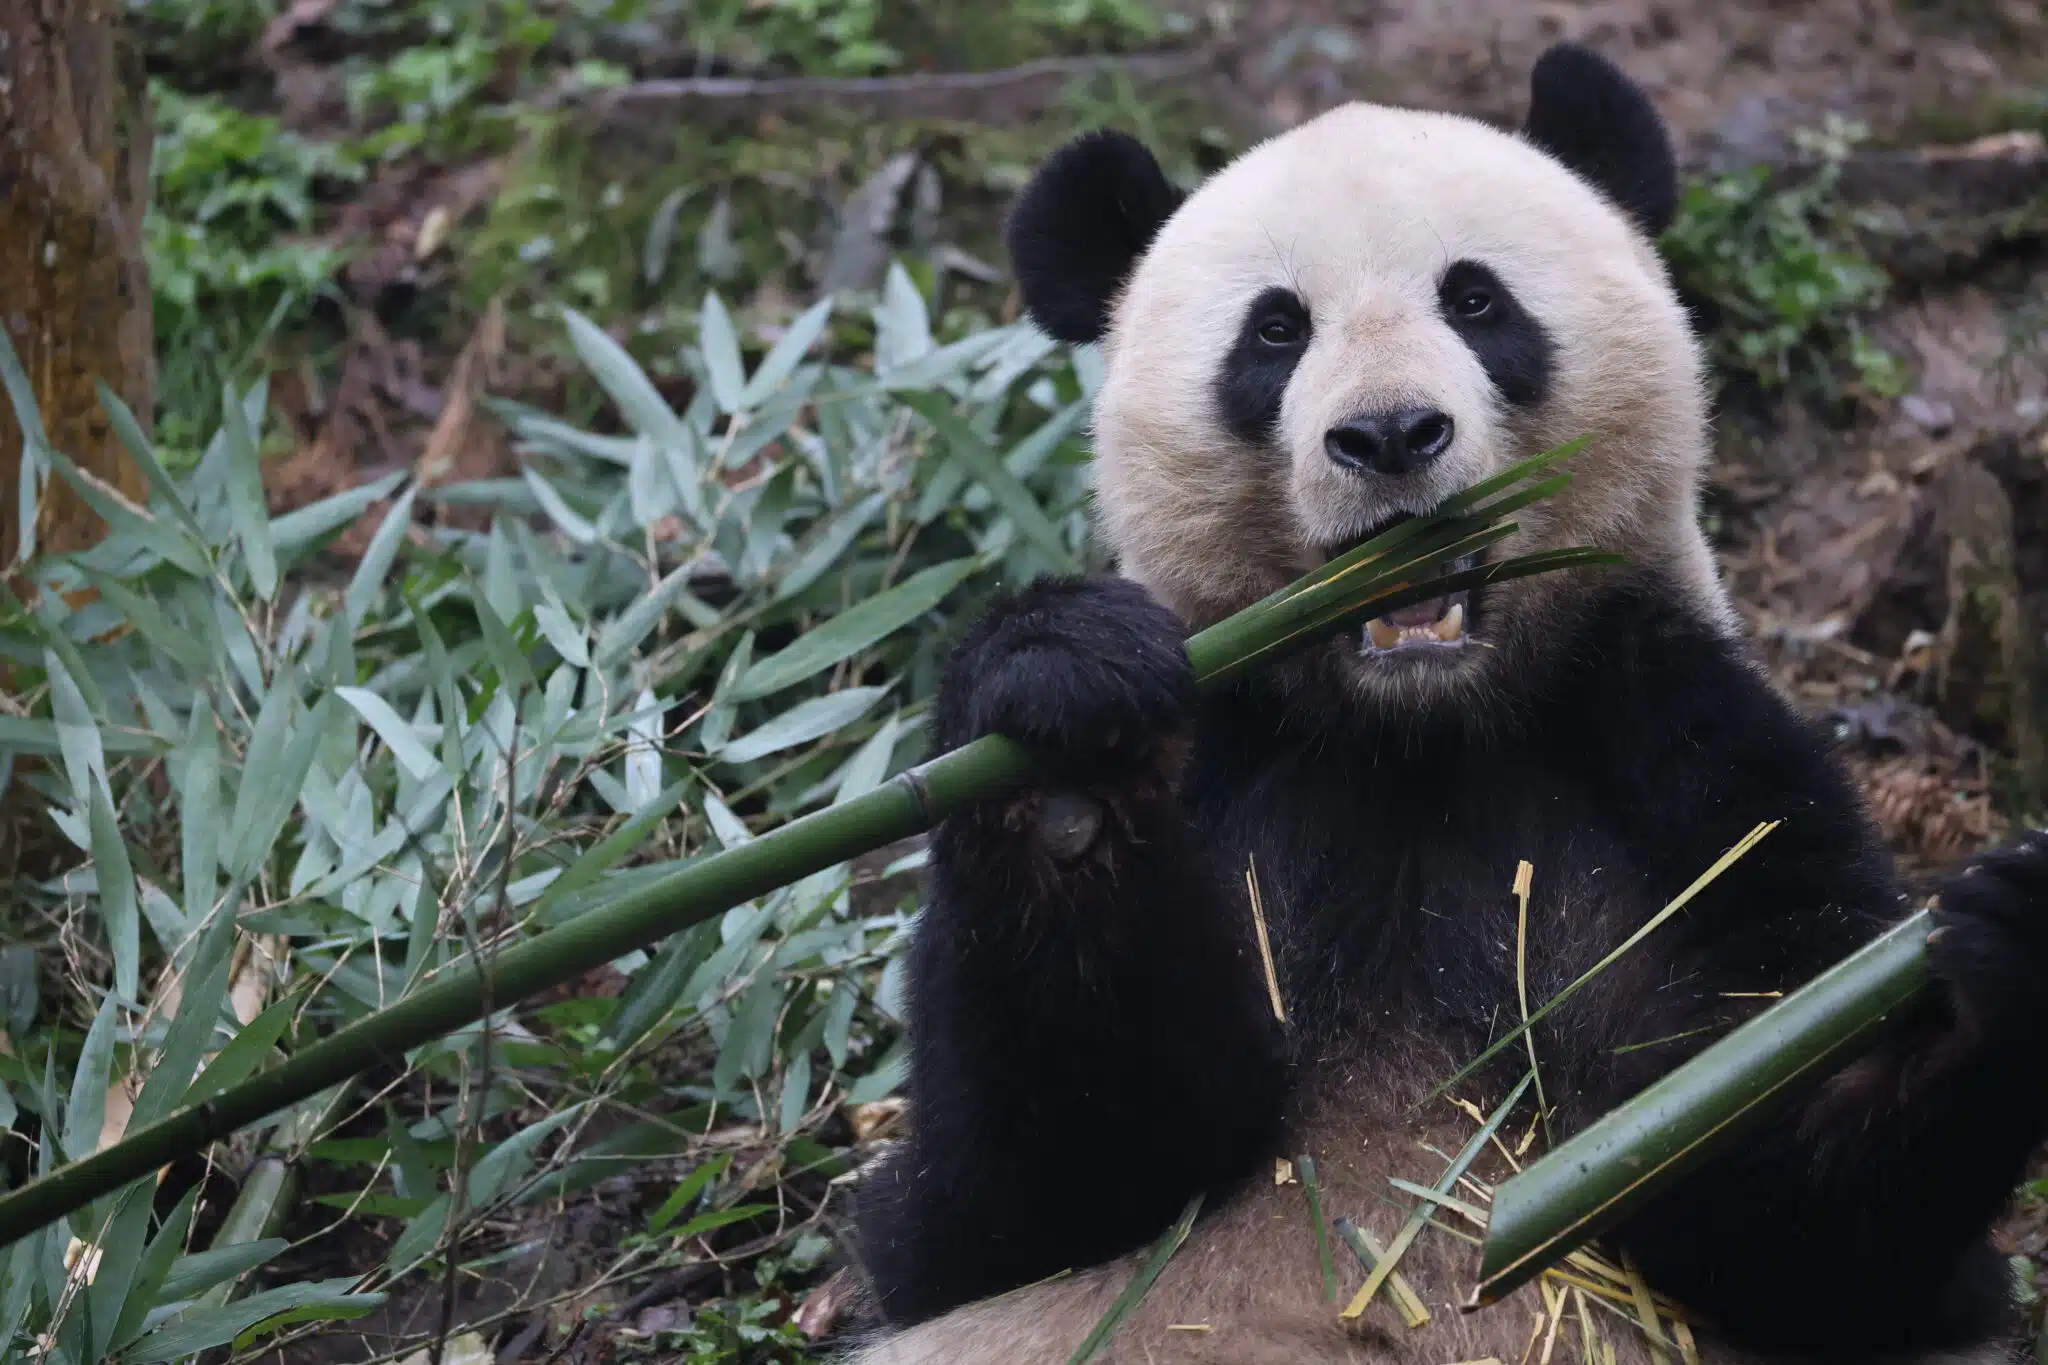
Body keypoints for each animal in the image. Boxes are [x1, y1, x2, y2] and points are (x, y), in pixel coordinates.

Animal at [839, 42, 2048, 1365]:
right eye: (1274, 330)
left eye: (1475, 301)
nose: (1387, 434)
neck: (1413, 733)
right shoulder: (1236, 752)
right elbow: (1018, 1202)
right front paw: (1066, 739)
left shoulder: (1671, 740)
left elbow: (1788, 1191)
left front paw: (1990, 958)